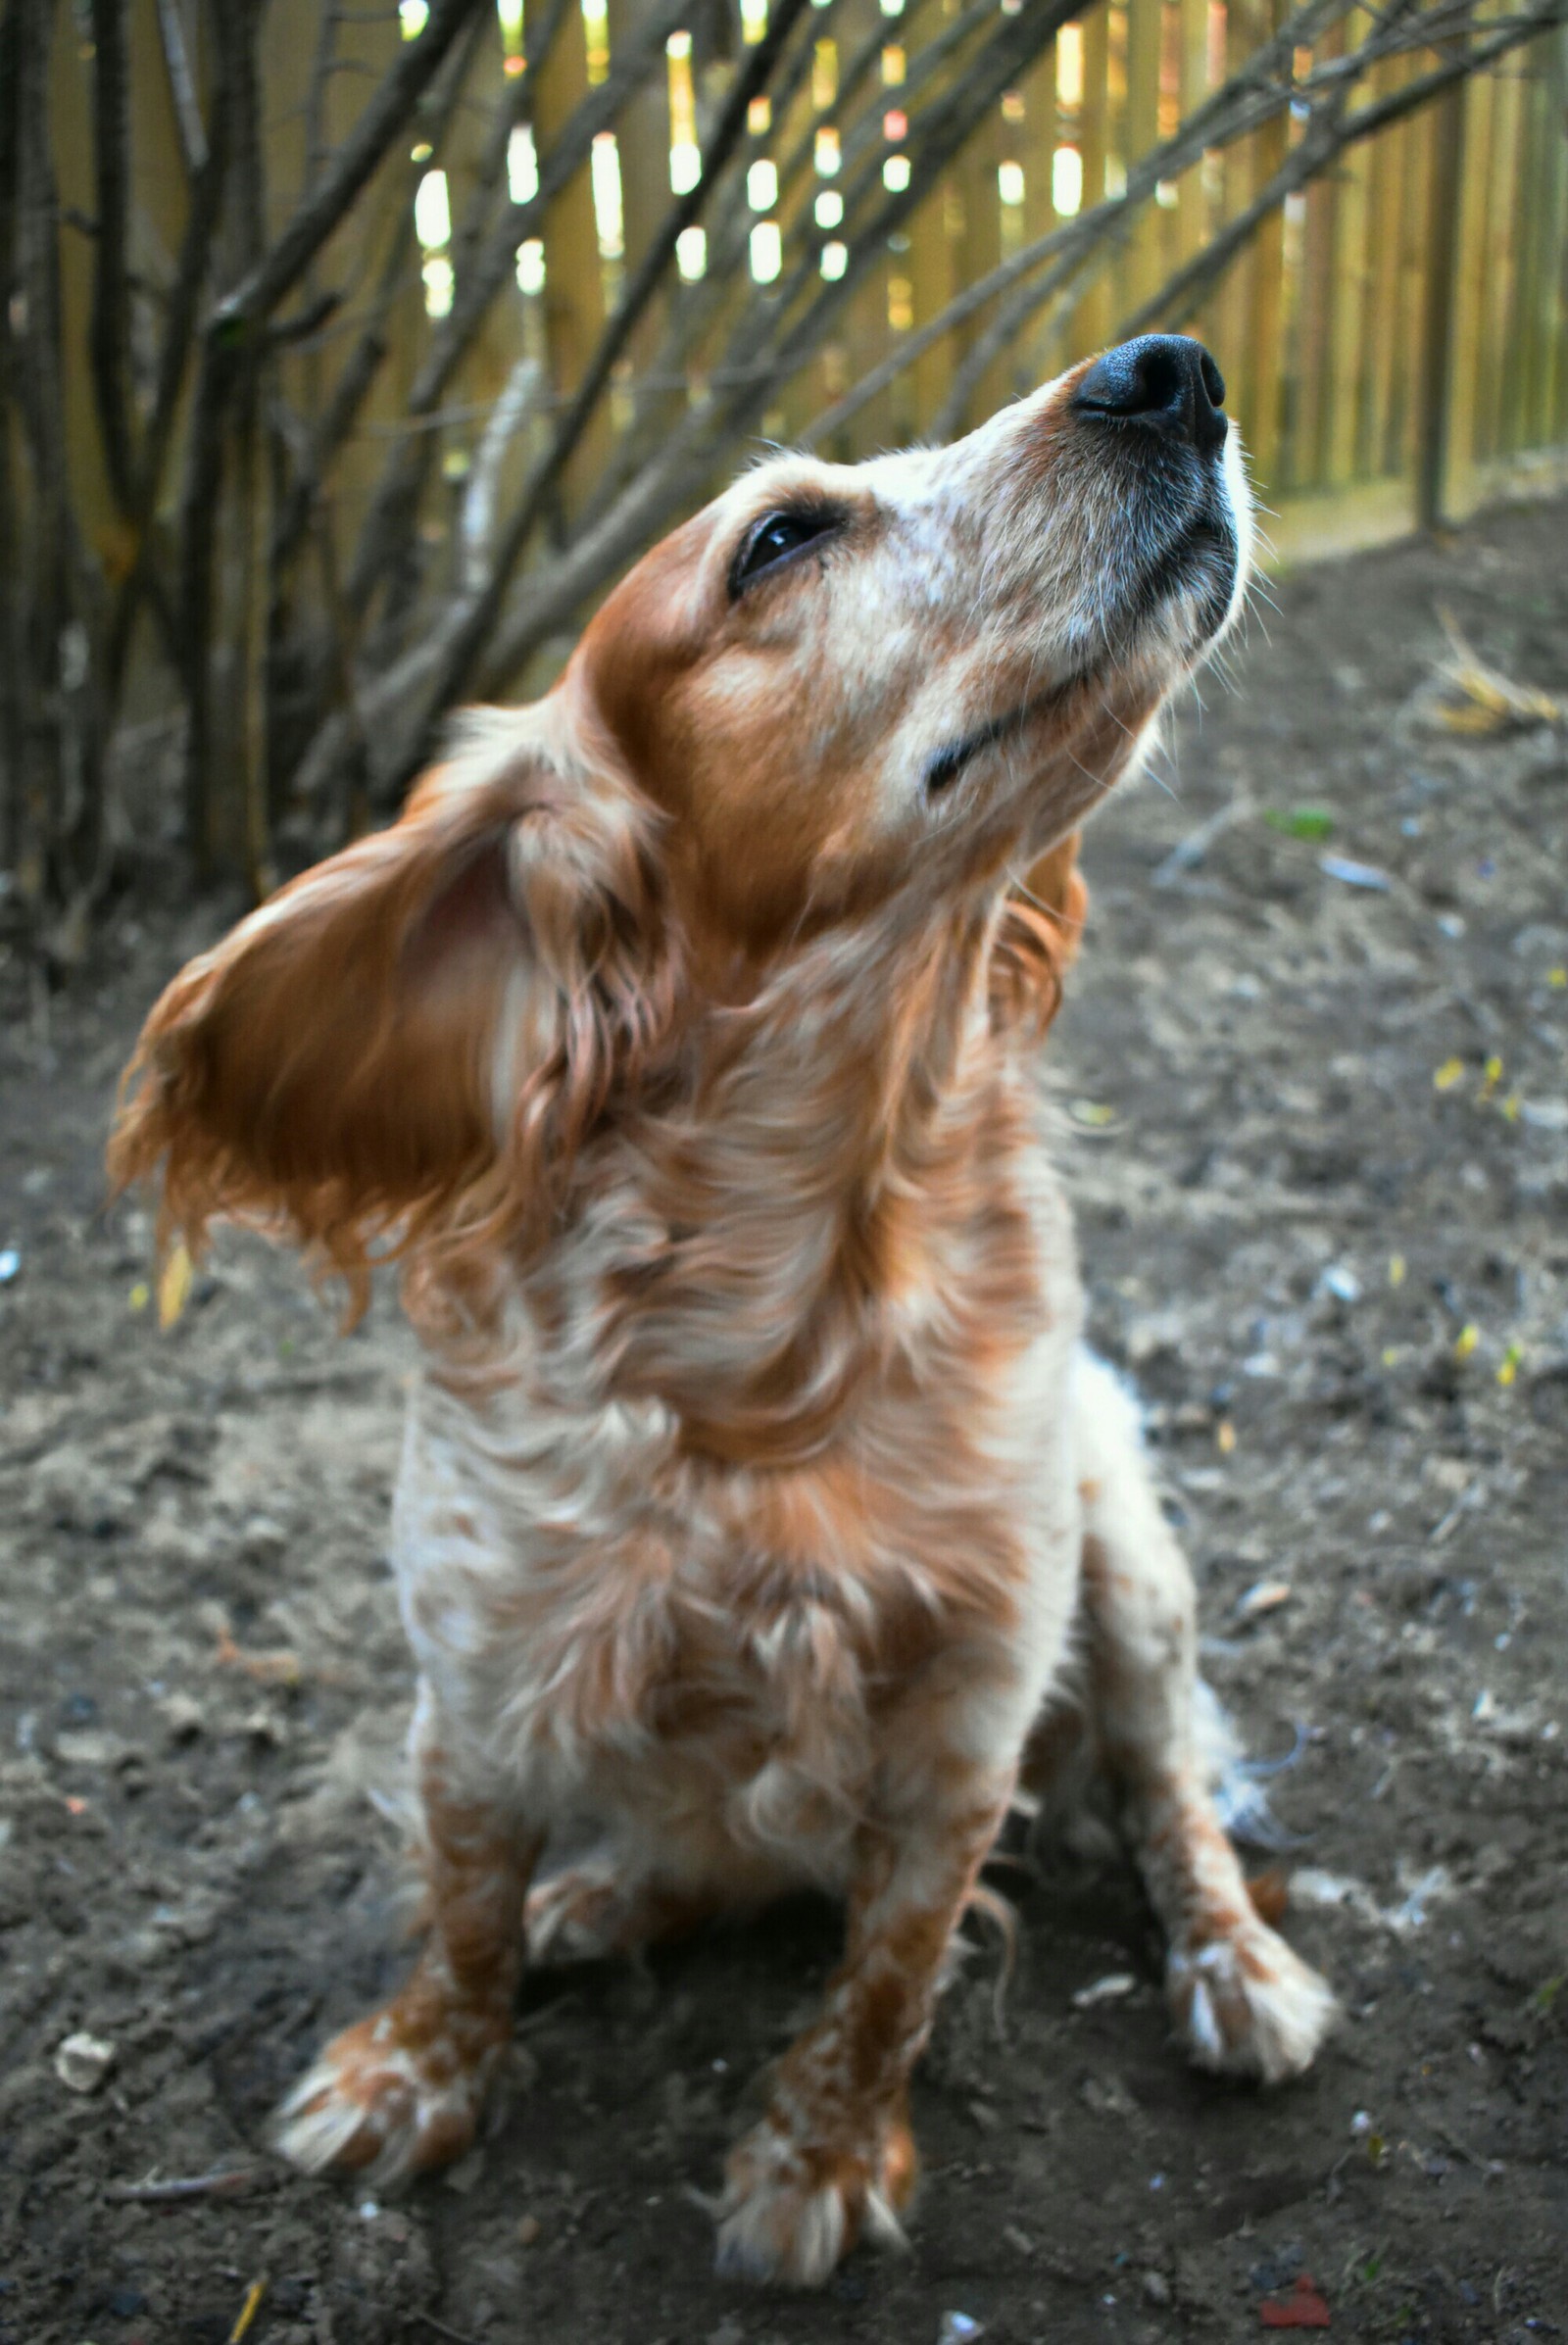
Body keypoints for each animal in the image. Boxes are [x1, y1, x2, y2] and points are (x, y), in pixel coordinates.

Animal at [113, 339, 1331, 2278]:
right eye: (780, 538)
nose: (1173, 370)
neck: (780, 1314)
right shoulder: (474, 1677)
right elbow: (460, 1906)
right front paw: (413, 2073)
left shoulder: (970, 1711)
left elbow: (890, 1971)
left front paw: (816, 2162)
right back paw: (603, 1893)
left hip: (1133, 1565)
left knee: (1172, 1798)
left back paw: (1239, 1969)